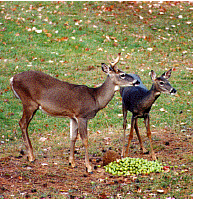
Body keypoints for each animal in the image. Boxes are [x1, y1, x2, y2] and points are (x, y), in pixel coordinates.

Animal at [9, 52, 140, 173]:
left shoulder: (73, 116)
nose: (137, 81)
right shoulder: (82, 115)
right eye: (122, 74)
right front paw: (88, 167)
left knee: (23, 124)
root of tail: (12, 79)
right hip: (29, 102)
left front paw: (72, 162)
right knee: (22, 123)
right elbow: (85, 140)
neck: (96, 99)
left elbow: (73, 137)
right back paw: (31, 157)